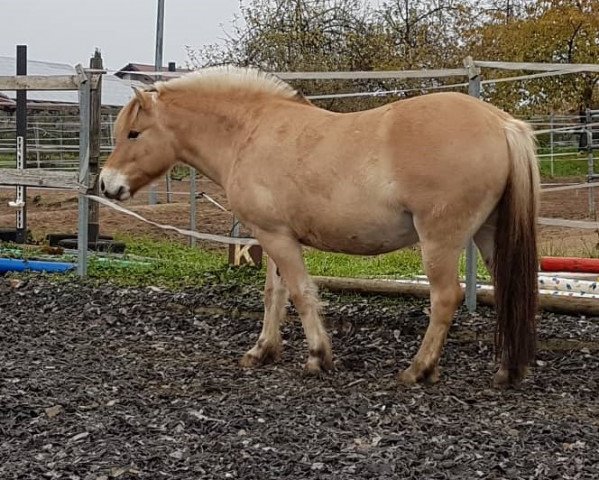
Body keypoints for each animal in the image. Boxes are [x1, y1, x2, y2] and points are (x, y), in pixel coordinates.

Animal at [98, 65, 540, 386]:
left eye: (134, 133)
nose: (106, 184)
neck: (249, 132)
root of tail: (502, 124)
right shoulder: (273, 236)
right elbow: (274, 294)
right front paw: (263, 350)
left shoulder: (277, 238)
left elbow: (300, 293)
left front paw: (317, 357)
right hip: (488, 234)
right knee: (508, 289)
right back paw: (507, 370)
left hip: (440, 240)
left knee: (446, 298)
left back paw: (418, 370)